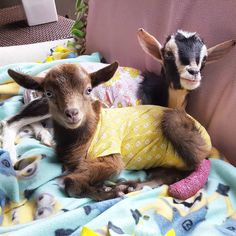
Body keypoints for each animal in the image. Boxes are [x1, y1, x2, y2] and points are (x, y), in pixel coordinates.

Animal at [7, 63, 210, 200]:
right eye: (49, 92)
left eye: (88, 90)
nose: (72, 113)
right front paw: (106, 189)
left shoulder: (111, 156)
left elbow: (71, 182)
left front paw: (108, 191)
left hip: (175, 125)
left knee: (179, 170)